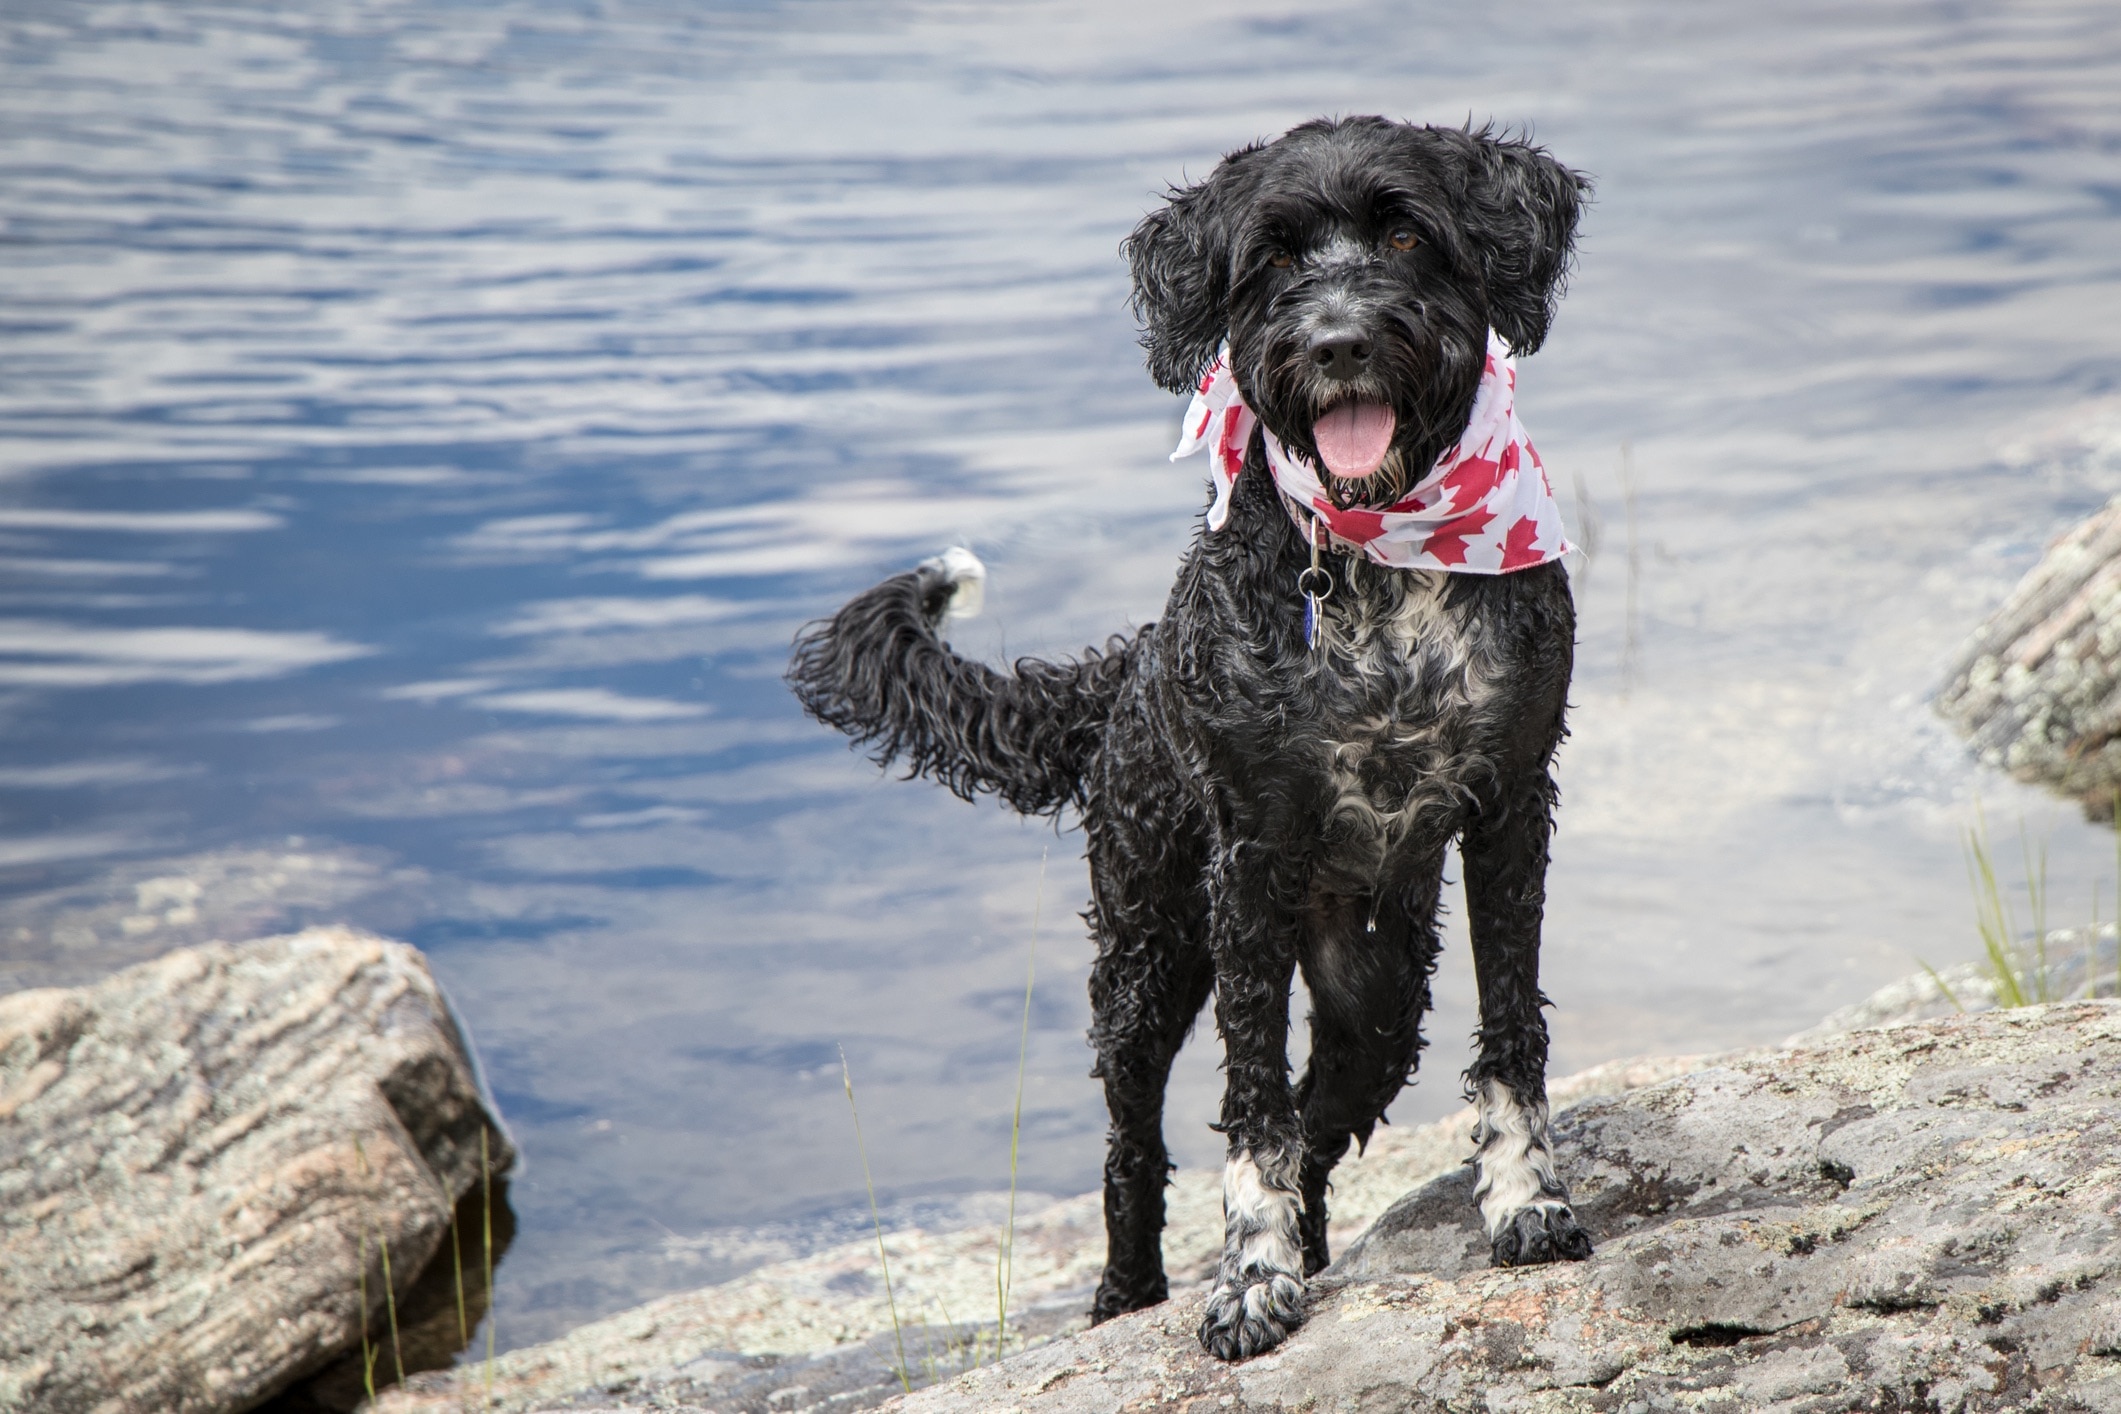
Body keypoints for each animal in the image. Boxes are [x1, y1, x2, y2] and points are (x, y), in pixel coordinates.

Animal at [797, 118, 1594, 1356]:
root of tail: (1127, 667)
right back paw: (1129, 1293)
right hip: (1145, 956)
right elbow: (1250, 1101)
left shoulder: (1512, 805)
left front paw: (1524, 1199)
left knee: (1325, 1116)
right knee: (1134, 1150)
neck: (1375, 558)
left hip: (1376, 990)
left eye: (1407, 234)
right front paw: (1251, 1278)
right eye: (1270, 259)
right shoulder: (1248, 864)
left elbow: (1509, 1033)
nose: (1337, 341)